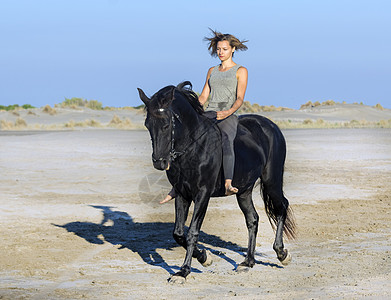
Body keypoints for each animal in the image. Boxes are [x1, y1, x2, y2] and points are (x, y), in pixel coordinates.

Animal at [139, 82, 296, 284]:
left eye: (166, 125)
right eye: (147, 125)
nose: (159, 162)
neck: (194, 146)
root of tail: (270, 125)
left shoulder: (202, 194)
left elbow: (192, 232)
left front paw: (184, 271)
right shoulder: (182, 194)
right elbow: (179, 234)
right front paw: (204, 257)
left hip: (272, 181)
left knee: (281, 206)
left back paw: (282, 253)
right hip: (243, 191)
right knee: (252, 219)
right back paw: (248, 262)